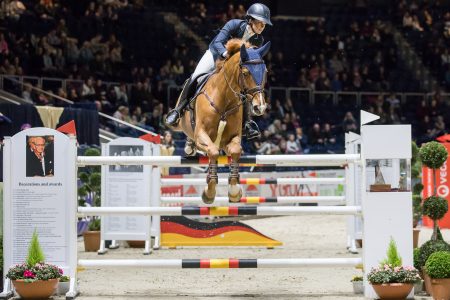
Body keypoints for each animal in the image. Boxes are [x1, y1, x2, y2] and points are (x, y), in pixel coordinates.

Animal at [168, 39, 268, 204]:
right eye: (245, 73)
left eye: (265, 72)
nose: (260, 107)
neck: (224, 99)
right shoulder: (201, 135)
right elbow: (213, 153)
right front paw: (209, 192)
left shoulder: (231, 139)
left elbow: (235, 151)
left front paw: (234, 191)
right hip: (179, 125)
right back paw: (186, 141)